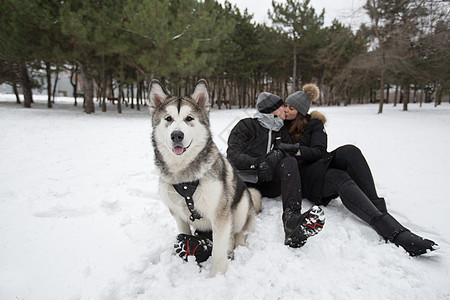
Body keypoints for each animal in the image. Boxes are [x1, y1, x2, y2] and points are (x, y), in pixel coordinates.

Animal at [148, 79, 262, 276]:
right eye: (168, 119)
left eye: (189, 118)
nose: (177, 135)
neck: (184, 179)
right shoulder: (178, 214)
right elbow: (185, 232)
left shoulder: (220, 215)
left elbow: (218, 252)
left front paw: (216, 276)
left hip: (241, 207)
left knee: (238, 233)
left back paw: (238, 246)